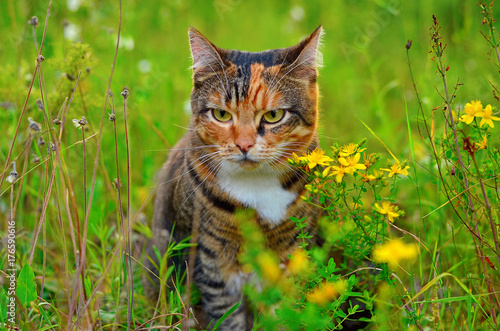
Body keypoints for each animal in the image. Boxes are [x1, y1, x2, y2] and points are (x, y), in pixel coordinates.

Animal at [145, 25, 324, 330]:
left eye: (273, 115)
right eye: (221, 114)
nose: (243, 145)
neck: (256, 187)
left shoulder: (293, 252)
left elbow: (283, 312)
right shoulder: (211, 258)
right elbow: (227, 315)